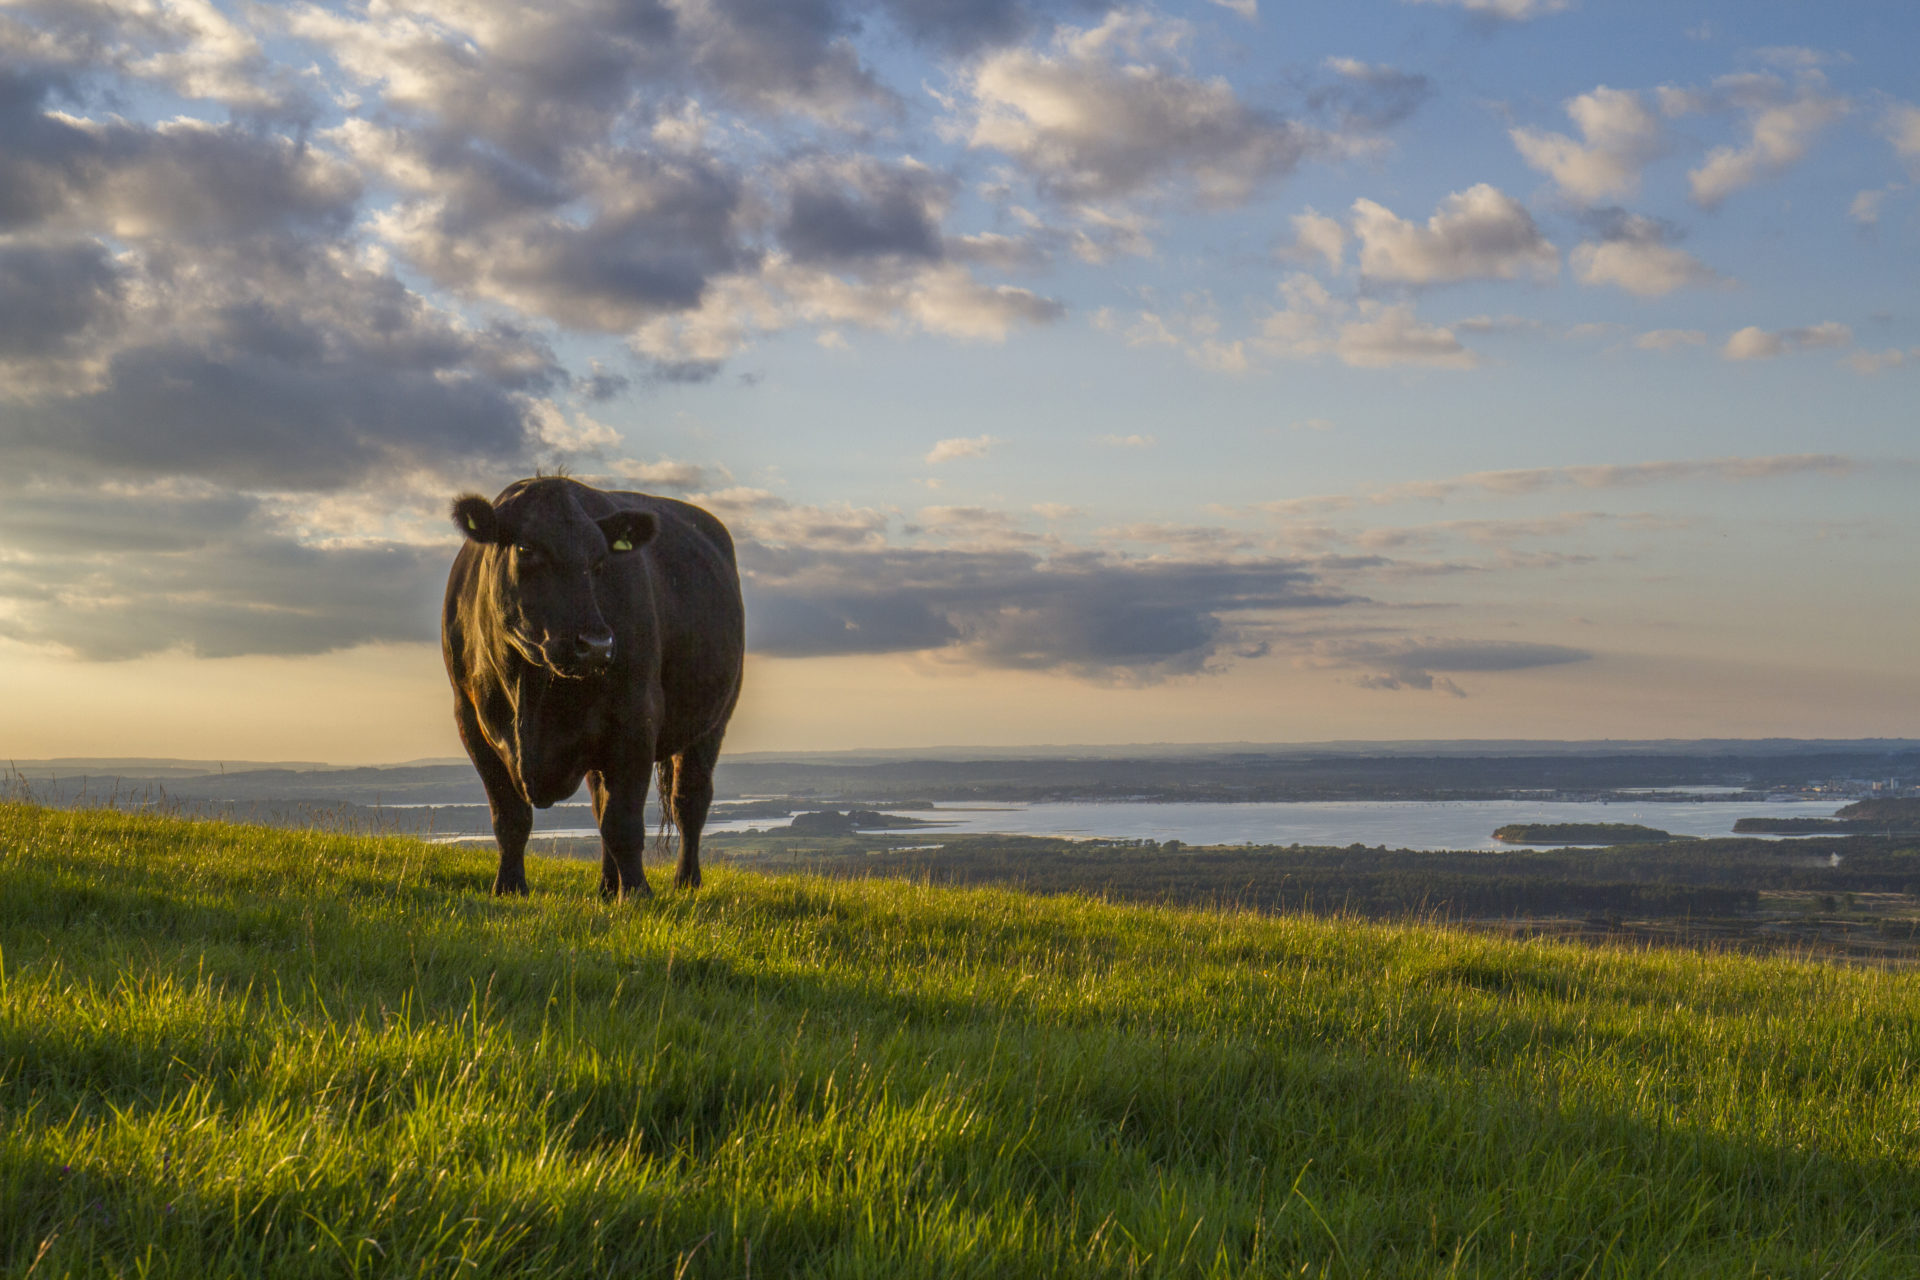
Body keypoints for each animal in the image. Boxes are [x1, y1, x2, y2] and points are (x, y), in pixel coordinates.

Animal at [442, 476, 744, 899]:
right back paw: (605, 885)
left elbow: (623, 822)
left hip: (714, 719)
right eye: (526, 549)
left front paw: (637, 892)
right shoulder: (470, 721)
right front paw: (509, 887)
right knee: (601, 802)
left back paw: (686, 880)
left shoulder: (636, 718)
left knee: (689, 801)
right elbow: (510, 817)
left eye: (599, 562)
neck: (530, 687)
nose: (597, 644)